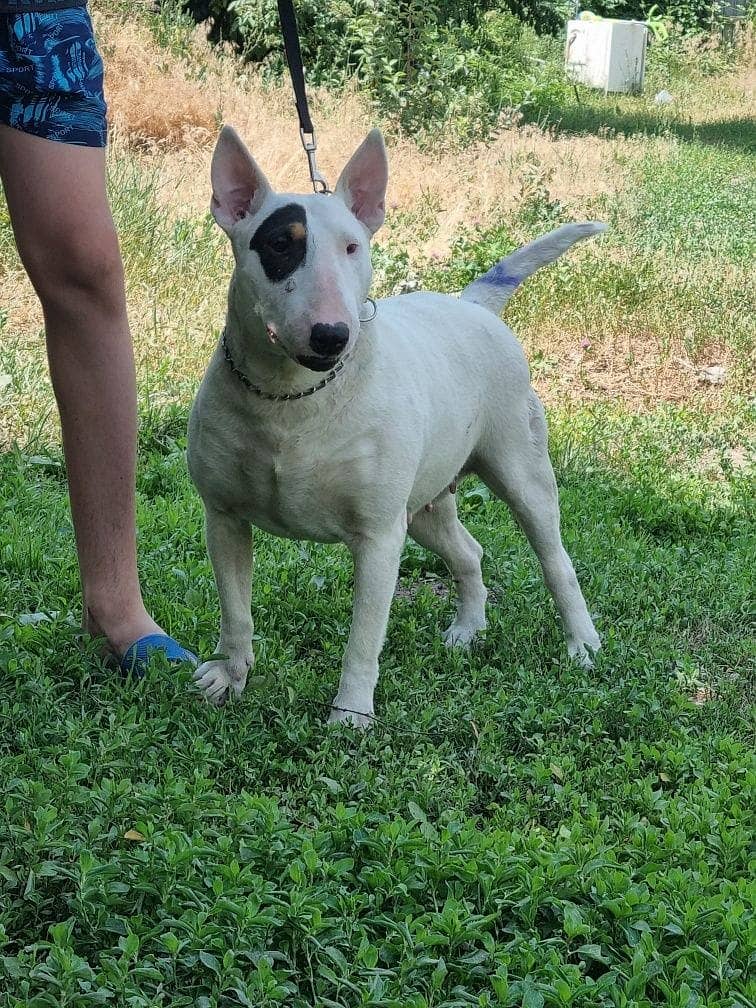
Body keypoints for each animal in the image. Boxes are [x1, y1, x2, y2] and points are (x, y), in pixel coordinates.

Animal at [190, 126, 608, 725]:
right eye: (280, 245)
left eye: (353, 247)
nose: (332, 336)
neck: (291, 400)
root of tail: (474, 304)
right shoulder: (223, 518)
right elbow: (236, 610)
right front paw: (230, 675)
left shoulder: (379, 536)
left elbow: (364, 636)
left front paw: (351, 714)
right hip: (426, 502)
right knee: (469, 554)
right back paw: (467, 630)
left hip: (520, 471)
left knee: (556, 560)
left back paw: (582, 643)